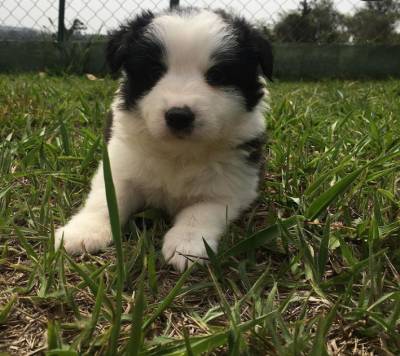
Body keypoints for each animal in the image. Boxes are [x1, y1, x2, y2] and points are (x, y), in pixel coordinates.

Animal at [54, 7, 274, 270]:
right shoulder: (120, 164)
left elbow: (202, 211)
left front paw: (186, 245)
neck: (178, 152)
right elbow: (106, 198)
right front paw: (83, 231)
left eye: (217, 75)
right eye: (154, 72)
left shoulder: (233, 184)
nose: (179, 116)